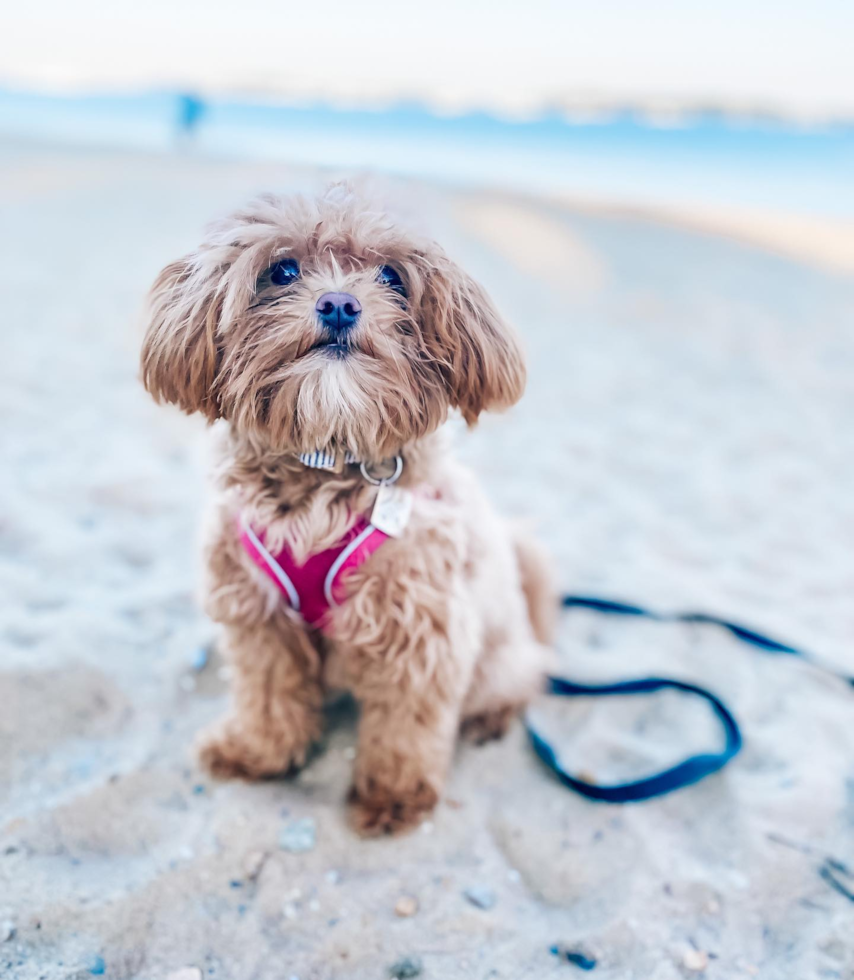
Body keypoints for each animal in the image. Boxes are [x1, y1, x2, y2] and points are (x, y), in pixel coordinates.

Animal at [142, 188, 556, 840]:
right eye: (283, 270)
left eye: (391, 276)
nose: (339, 303)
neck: (327, 457)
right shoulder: (259, 615)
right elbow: (267, 692)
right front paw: (258, 750)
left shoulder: (422, 633)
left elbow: (405, 729)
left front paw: (393, 797)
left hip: (499, 654)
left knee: (521, 679)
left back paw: (490, 719)